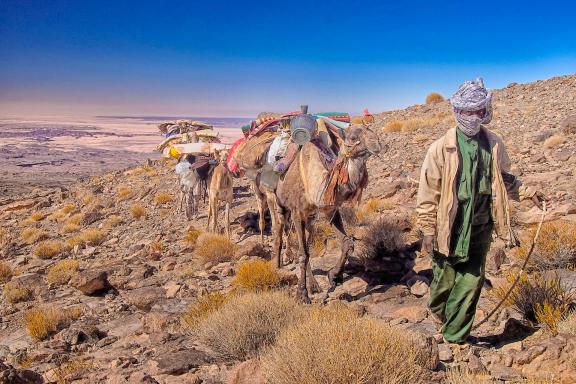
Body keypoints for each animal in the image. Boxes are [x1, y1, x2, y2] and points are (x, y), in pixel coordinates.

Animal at [272, 125, 384, 304]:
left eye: (373, 132)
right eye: (353, 137)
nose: (377, 144)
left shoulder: (329, 209)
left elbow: (346, 243)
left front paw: (334, 276)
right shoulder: (297, 212)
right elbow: (303, 254)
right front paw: (301, 295)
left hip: (310, 220)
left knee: (307, 243)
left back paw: (314, 285)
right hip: (278, 202)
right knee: (279, 231)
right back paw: (278, 267)